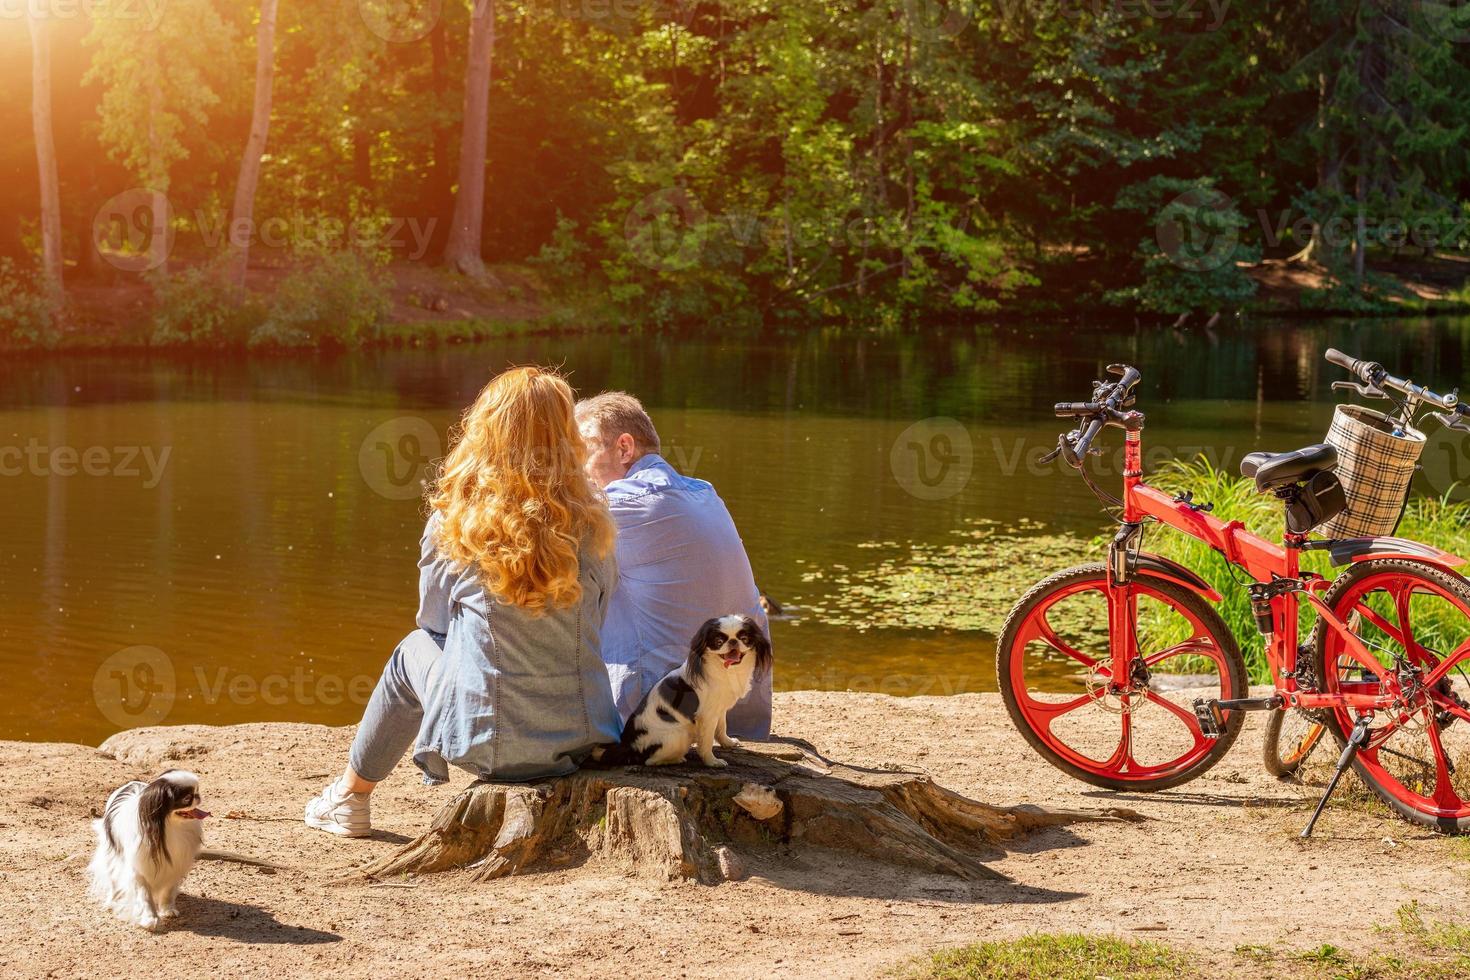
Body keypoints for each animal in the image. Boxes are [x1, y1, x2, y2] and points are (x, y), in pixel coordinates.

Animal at [86, 769, 210, 934]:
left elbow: (168, 890)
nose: (198, 796)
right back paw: (112, 900)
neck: (168, 828)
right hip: (112, 856)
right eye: (187, 798)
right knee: (113, 880)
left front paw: (167, 910)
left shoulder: (174, 866)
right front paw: (150, 919)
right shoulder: (138, 870)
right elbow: (144, 896)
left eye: (197, 790)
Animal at [605, 617, 776, 769]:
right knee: (650, 761)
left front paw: (728, 743)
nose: (733, 641)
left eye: (744, 638)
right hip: (679, 735)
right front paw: (712, 762)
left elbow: (722, 727)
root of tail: (628, 745)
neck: (726, 670)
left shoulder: (719, 709)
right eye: (718, 642)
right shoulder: (707, 716)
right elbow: (707, 741)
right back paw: (676, 759)